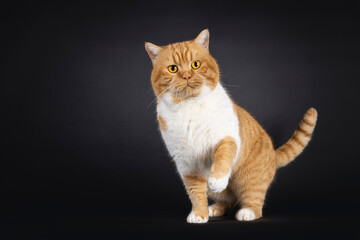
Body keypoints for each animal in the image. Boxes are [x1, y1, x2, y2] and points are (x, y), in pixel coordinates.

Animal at [144, 29, 318, 223]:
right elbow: (195, 192)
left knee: (254, 201)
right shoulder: (187, 164)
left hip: (248, 179)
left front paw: (217, 179)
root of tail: (273, 154)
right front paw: (199, 213)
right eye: (173, 68)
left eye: (196, 65)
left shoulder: (226, 136)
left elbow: (223, 157)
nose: (187, 76)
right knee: (229, 197)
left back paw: (247, 212)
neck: (190, 106)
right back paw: (215, 209)